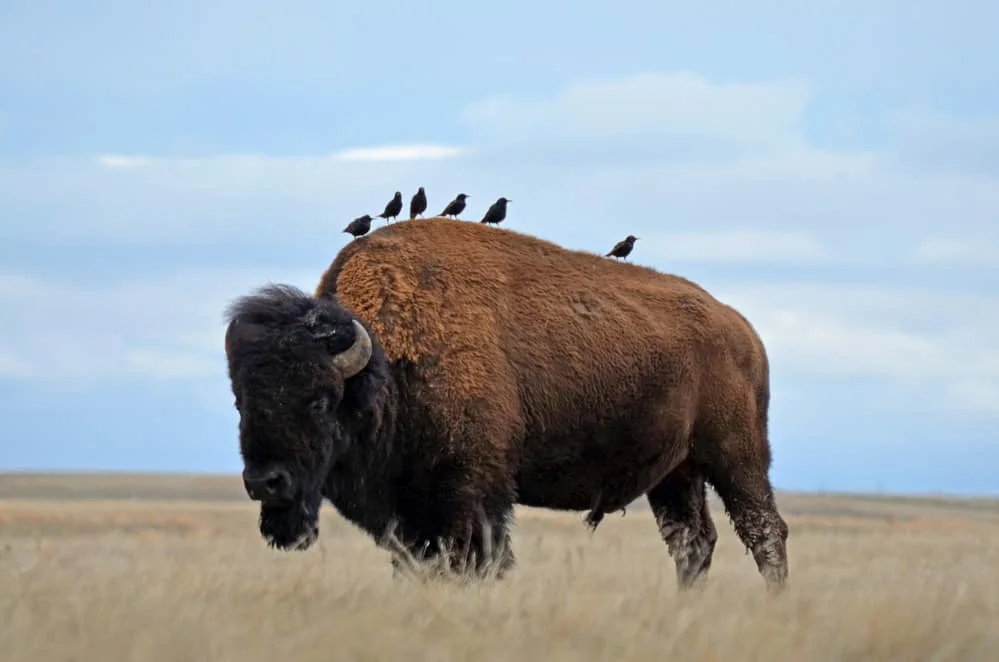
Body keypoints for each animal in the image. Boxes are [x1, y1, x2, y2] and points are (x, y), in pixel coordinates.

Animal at [223, 218, 790, 592]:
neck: (386, 365)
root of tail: (740, 328)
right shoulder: (409, 510)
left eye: (321, 402)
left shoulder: (470, 492)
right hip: (675, 472)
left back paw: (774, 602)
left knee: (764, 531)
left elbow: (476, 560)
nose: (266, 482)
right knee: (692, 542)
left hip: (736, 456)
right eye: (240, 402)